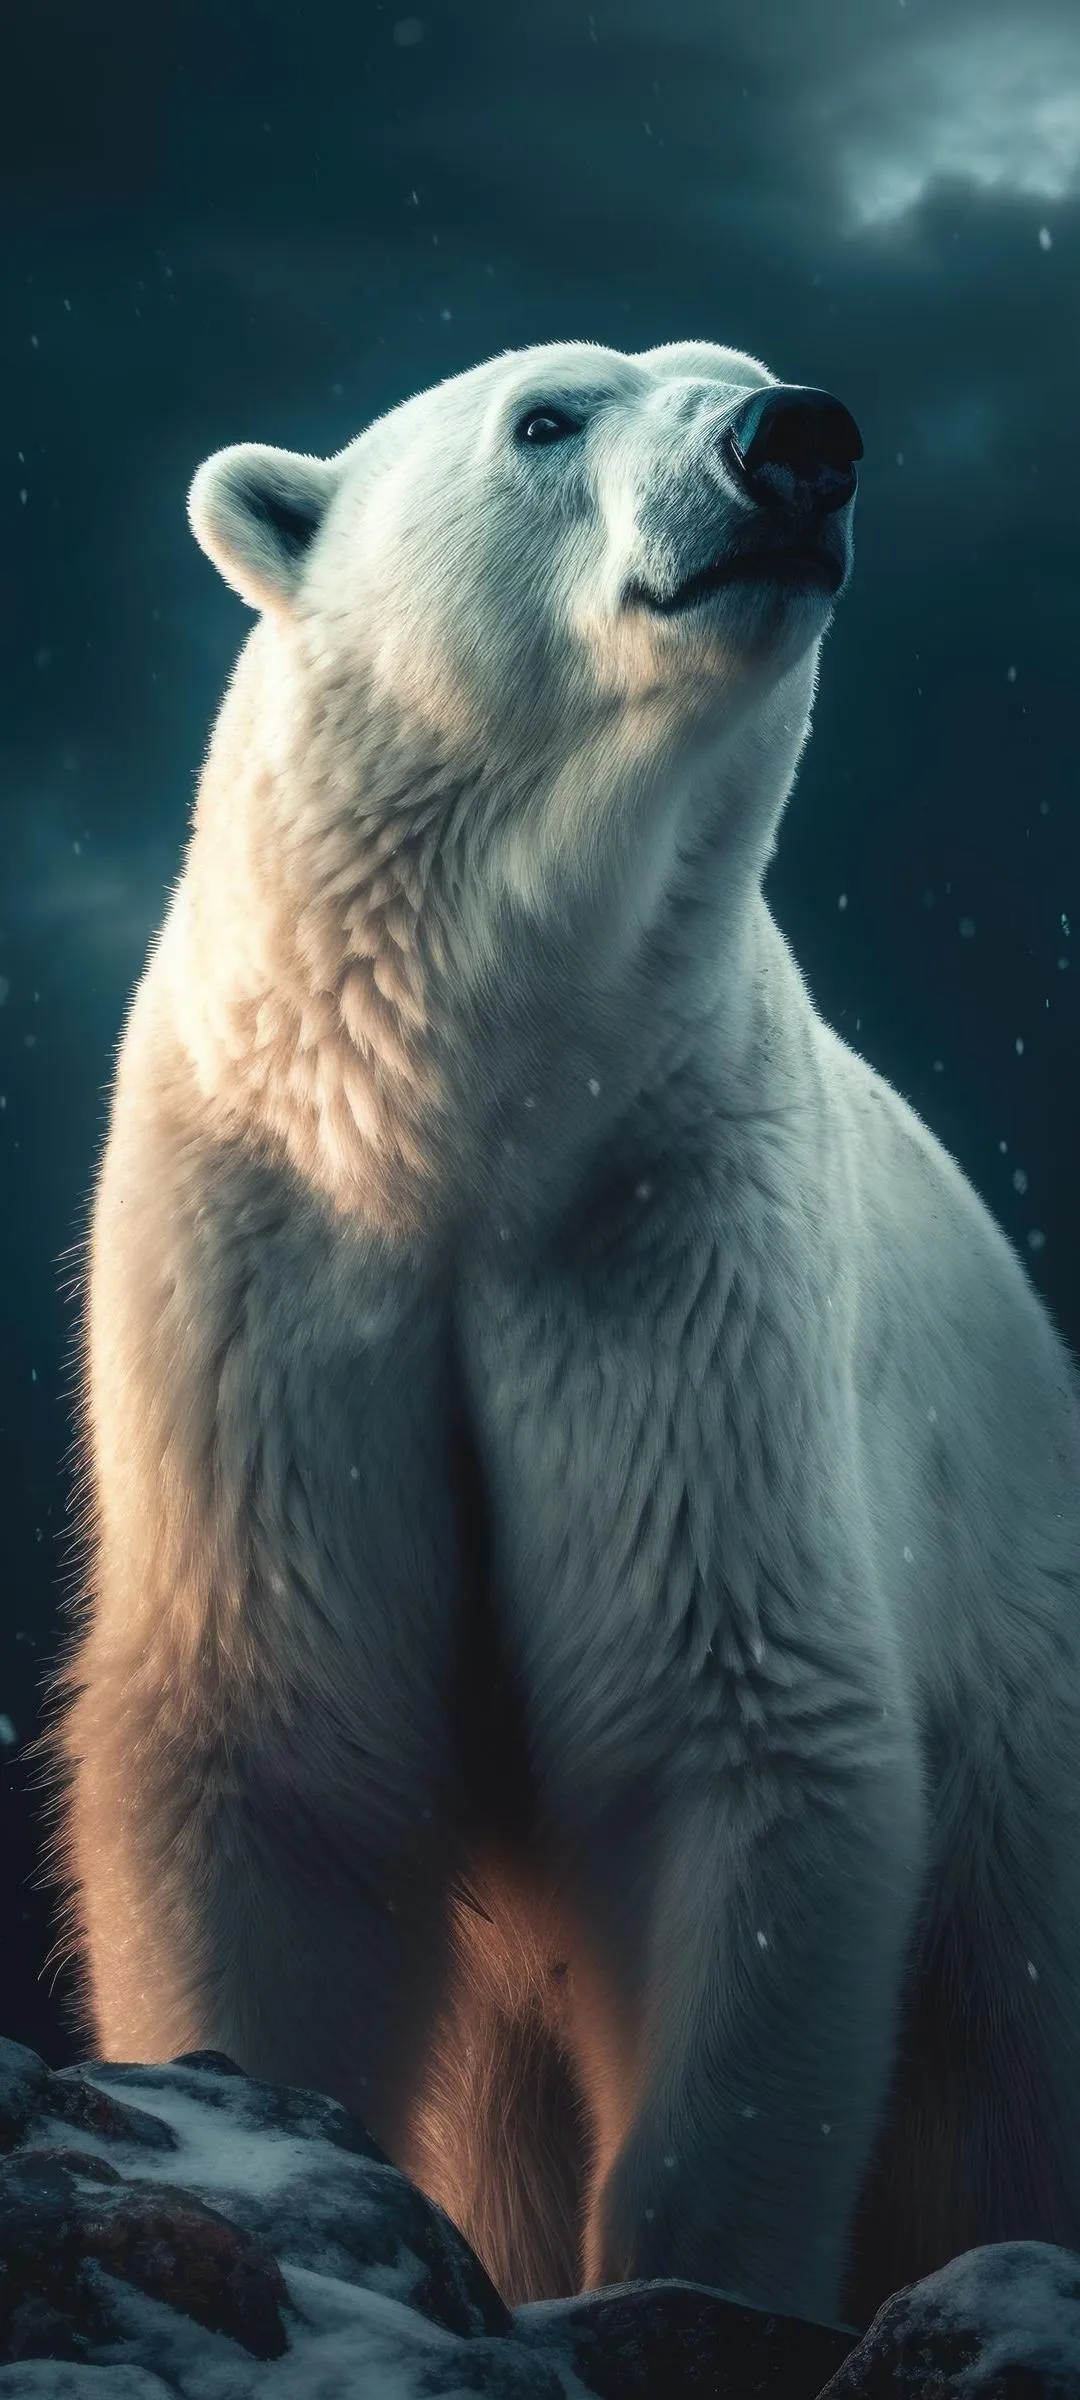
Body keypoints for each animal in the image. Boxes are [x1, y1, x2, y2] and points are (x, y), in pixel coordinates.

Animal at [43, 339, 1080, 2334]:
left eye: (745, 375)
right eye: (547, 414)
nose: (798, 442)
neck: (463, 1123)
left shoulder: (668, 1249)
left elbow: (737, 1724)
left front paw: (688, 2286)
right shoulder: (273, 1264)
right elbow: (273, 1740)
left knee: (1011, 2058)